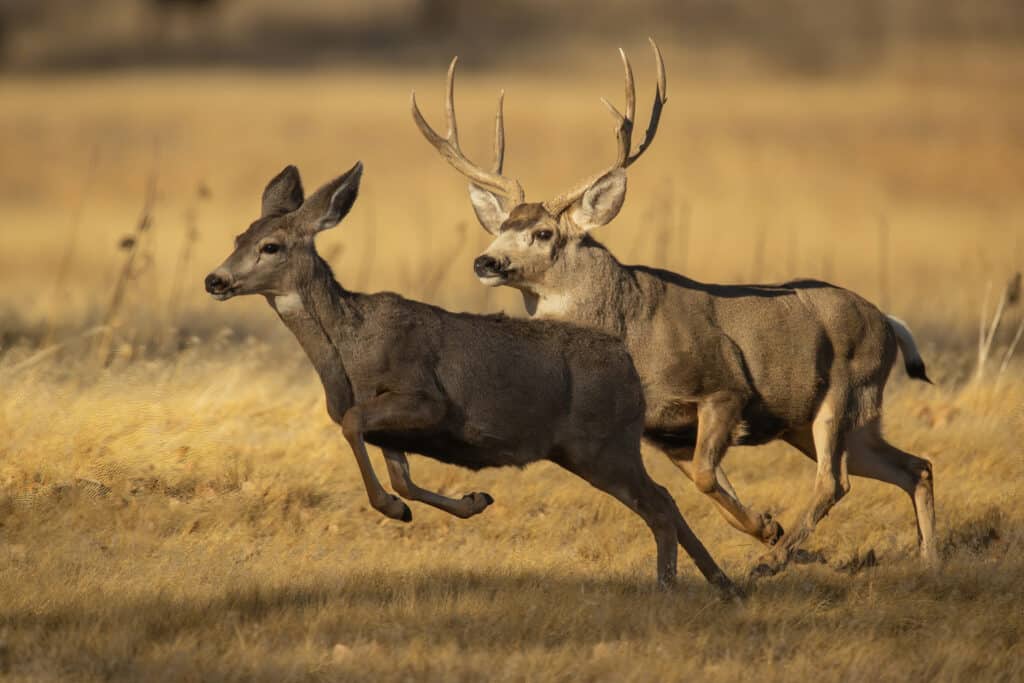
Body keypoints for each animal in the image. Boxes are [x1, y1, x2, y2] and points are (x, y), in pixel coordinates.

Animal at [203, 160, 737, 592]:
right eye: (236, 239)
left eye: (270, 246)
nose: (215, 279)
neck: (350, 350)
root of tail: (625, 360)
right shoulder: (392, 429)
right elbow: (399, 474)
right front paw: (470, 500)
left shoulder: (425, 397)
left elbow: (356, 427)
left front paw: (396, 510)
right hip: (592, 449)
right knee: (666, 500)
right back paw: (723, 583)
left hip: (604, 444)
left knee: (661, 504)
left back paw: (670, 585)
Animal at [412, 39, 937, 578]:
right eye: (499, 227)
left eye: (542, 232)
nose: (486, 260)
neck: (630, 332)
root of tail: (888, 321)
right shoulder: (664, 432)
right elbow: (701, 489)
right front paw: (763, 526)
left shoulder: (724, 386)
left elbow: (707, 476)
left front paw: (768, 530)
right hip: (818, 420)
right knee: (914, 466)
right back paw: (928, 558)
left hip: (844, 392)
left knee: (836, 480)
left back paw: (773, 562)